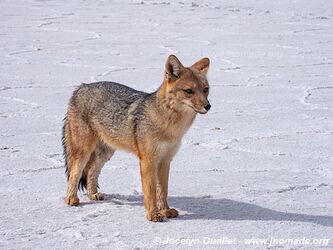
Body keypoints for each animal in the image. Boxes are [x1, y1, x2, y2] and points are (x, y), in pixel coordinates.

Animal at [62, 54, 210, 221]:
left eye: (206, 90)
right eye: (189, 91)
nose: (208, 106)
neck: (170, 127)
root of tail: (81, 87)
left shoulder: (165, 160)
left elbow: (163, 190)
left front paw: (165, 210)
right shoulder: (148, 161)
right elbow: (150, 191)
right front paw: (153, 214)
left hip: (106, 153)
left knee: (92, 171)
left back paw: (93, 194)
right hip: (83, 151)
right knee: (75, 173)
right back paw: (71, 199)